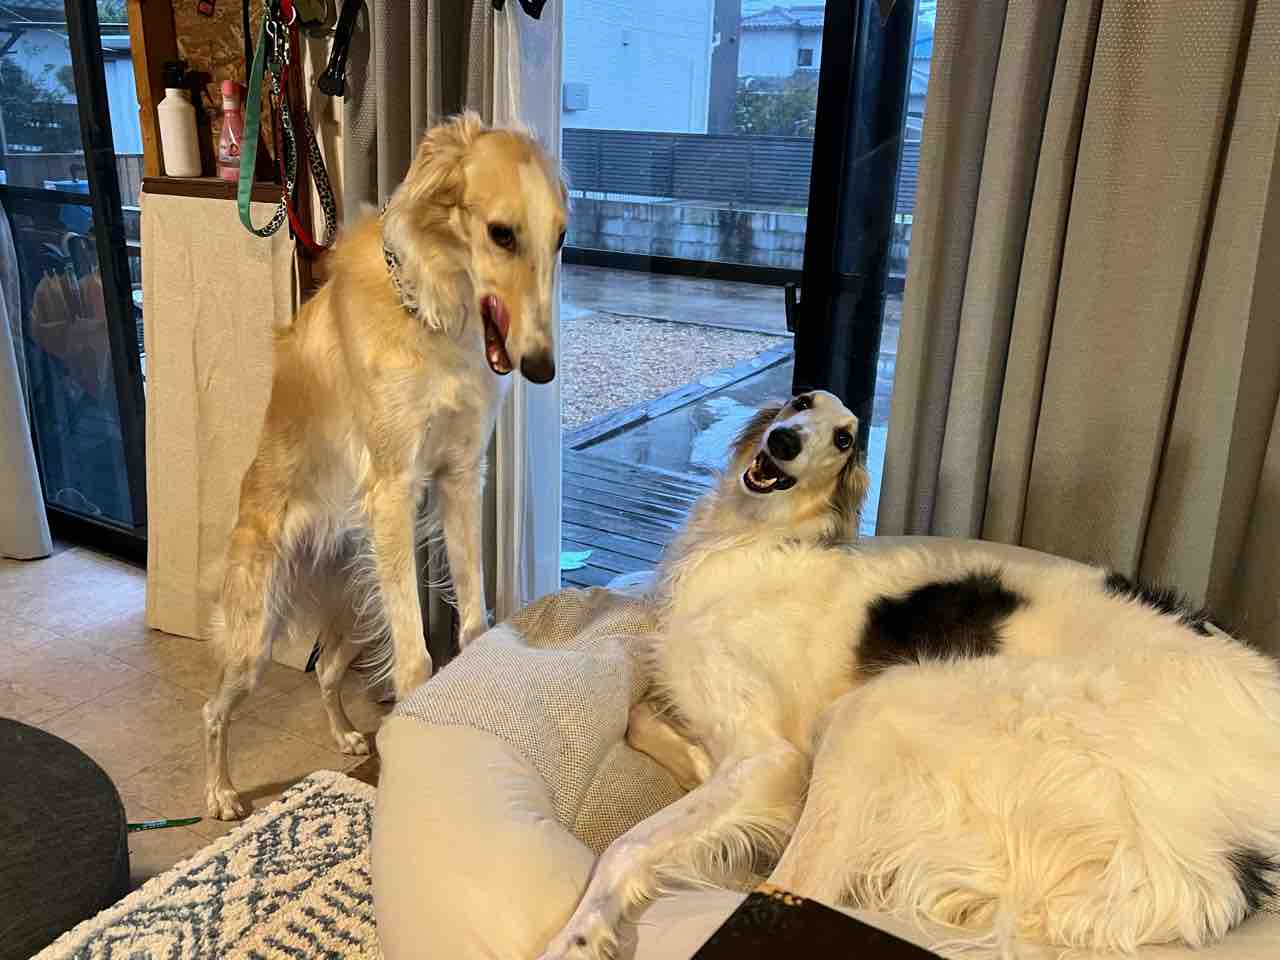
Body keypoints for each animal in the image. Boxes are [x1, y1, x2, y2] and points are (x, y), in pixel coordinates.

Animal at [203, 113, 567, 820]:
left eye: (562, 237)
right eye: (501, 233)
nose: (541, 368)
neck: (427, 313)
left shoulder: (459, 478)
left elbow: (474, 622)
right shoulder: (394, 489)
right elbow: (417, 664)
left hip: (353, 596)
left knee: (324, 671)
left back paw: (346, 735)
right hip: (256, 632)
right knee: (214, 710)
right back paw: (222, 792)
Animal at [538, 391, 1280, 958]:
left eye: (843, 438)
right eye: (799, 403)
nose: (782, 442)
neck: (755, 543)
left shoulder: (772, 754)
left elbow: (629, 845)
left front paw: (578, 935)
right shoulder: (740, 747)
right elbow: (646, 722)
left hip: (877, 710)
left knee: (802, 881)